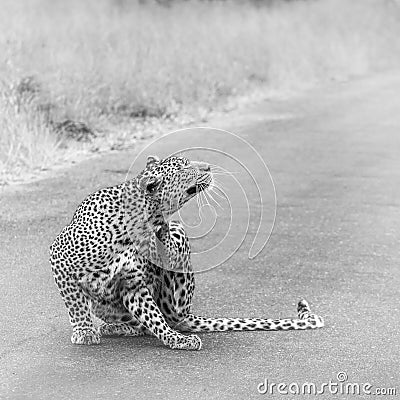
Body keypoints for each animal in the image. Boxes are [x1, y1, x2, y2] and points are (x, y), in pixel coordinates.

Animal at [50, 153, 324, 350]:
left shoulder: (133, 285)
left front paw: (174, 339)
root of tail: (184, 314)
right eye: (183, 168)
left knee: (160, 316)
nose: (208, 167)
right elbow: (75, 303)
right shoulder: (59, 257)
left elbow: (153, 317)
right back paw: (111, 328)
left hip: (177, 269)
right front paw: (84, 331)